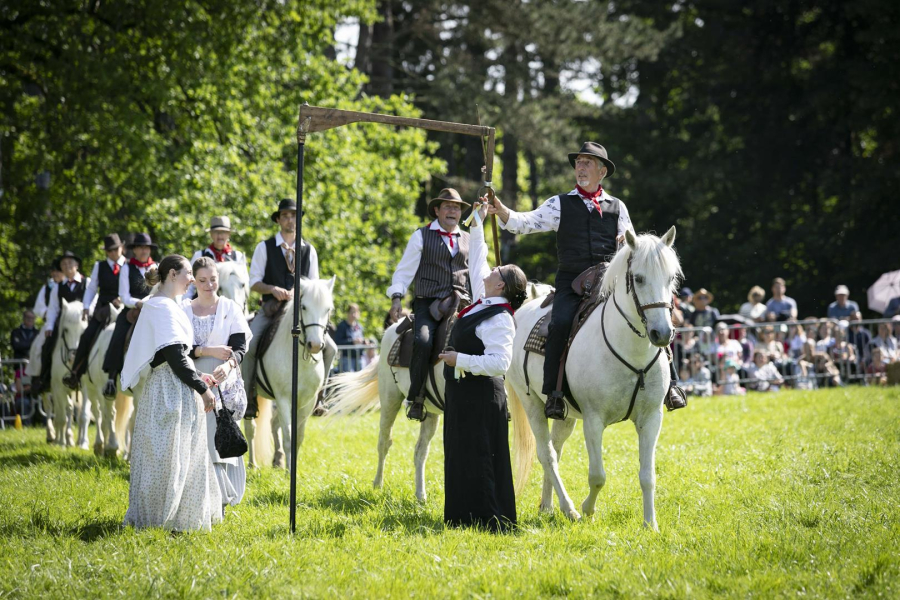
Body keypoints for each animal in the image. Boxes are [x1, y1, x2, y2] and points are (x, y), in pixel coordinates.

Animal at [243, 278, 334, 472]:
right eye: (304, 307)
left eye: (328, 309)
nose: (315, 345)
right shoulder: (284, 399)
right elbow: (289, 437)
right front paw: (290, 472)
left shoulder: (307, 402)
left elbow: (298, 437)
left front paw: (292, 470)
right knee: (251, 428)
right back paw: (252, 465)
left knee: (273, 424)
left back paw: (278, 462)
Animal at [328, 280, 552, 502]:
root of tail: (393, 328)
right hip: (390, 399)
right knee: (385, 441)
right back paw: (377, 484)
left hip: (430, 413)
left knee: (420, 451)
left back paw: (420, 495)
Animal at [510, 227, 680, 528]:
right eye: (638, 278)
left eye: (671, 278)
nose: (662, 333)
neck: (630, 352)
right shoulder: (593, 420)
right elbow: (598, 476)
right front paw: (587, 509)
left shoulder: (651, 418)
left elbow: (648, 476)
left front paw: (650, 524)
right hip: (531, 404)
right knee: (546, 455)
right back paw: (569, 509)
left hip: (564, 415)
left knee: (555, 450)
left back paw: (548, 506)